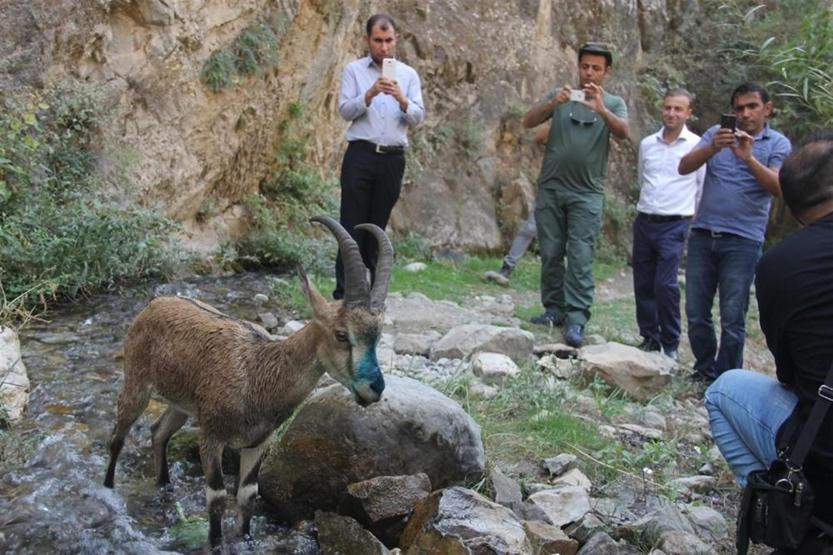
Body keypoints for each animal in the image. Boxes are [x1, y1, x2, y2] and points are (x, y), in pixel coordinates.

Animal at [103, 216, 390, 548]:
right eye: (341, 334)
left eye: (377, 336)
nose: (375, 388)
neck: (258, 374)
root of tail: (154, 304)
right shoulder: (211, 435)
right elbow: (216, 497)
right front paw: (215, 543)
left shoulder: (256, 442)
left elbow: (247, 495)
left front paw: (246, 538)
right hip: (137, 382)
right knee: (118, 436)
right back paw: (108, 488)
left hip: (184, 404)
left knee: (159, 431)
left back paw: (163, 484)